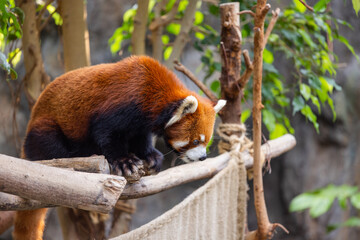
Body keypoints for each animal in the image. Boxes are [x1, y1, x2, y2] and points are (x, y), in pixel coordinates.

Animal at [13, 55, 225, 239]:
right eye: (196, 141)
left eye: (206, 141)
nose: (203, 157)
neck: (152, 91)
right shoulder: (121, 103)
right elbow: (107, 134)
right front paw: (125, 161)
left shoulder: (140, 124)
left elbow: (141, 139)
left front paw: (150, 156)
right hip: (45, 128)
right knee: (52, 143)